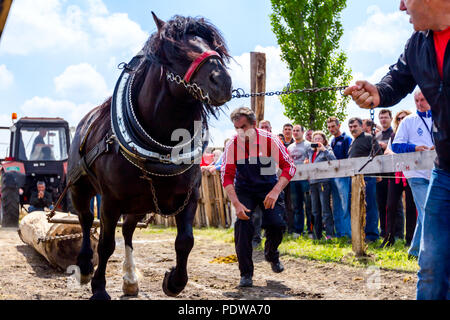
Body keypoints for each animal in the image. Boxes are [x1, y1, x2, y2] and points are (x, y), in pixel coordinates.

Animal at [68, 11, 234, 298]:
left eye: (214, 45)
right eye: (175, 50)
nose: (222, 81)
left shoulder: (190, 196)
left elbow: (185, 241)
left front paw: (174, 281)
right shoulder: (110, 201)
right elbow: (105, 244)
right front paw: (99, 288)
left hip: (139, 204)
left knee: (128, 231)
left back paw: (130, 279)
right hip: (80, 188)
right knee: (87, 221)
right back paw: (86, 267)